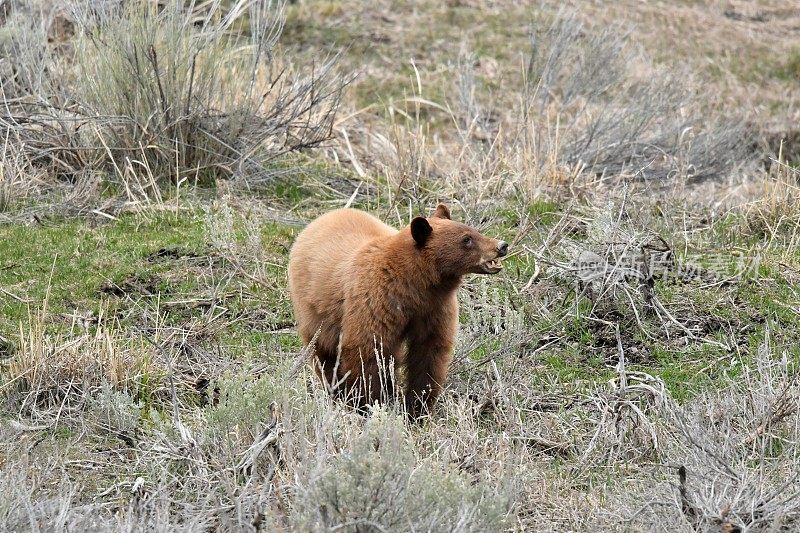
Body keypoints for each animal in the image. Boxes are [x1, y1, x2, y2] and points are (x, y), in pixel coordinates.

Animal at [288, 203, 506, 416]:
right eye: (466, 239)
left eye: (474, 231)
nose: (501, 245)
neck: (414, 286)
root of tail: (318, 220)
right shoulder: (375, 302)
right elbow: (367, 352)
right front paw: (372, 404)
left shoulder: (435, 309)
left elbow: (429, 354)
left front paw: (417, 408)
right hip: (316, 311)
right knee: (325, 353)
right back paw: (338, 393)